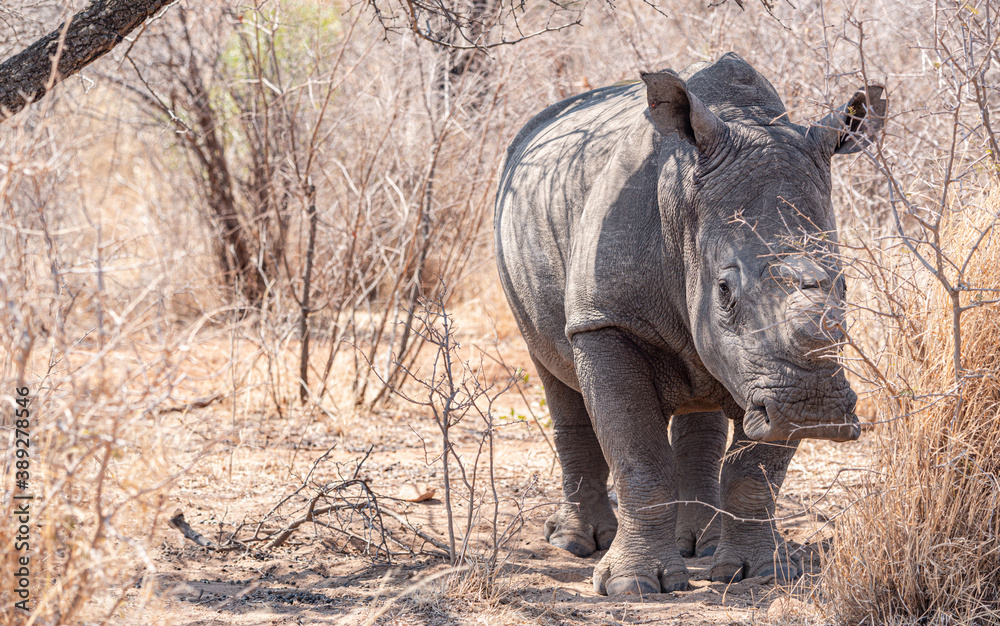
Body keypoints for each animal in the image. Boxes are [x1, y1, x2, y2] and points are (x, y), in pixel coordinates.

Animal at [494, 53, 885, 595]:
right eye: (724, 290)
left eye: (845, 287)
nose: (813, 410)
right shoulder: (605, 321)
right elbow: (639, 456)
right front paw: (633, 588)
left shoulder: (769, 375)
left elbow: (754, 473)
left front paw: (760, 574)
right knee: (554, 372)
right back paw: (575, 544)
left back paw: (700, 542)